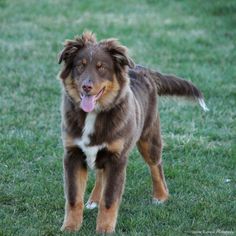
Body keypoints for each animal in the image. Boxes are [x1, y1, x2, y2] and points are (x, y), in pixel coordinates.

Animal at [57, 31, 208, 234]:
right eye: (80, 66)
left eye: (101, 68)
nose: (86, 87)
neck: (93, 114)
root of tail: (144, 70)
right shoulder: (73, 153)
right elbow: (74, 198)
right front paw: (70, 227)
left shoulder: (117, 158)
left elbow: (110, 199)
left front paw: (105, 229)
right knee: (101, 173)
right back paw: (94, 199)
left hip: (149, 137)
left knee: (156, 165)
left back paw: (161, 196)